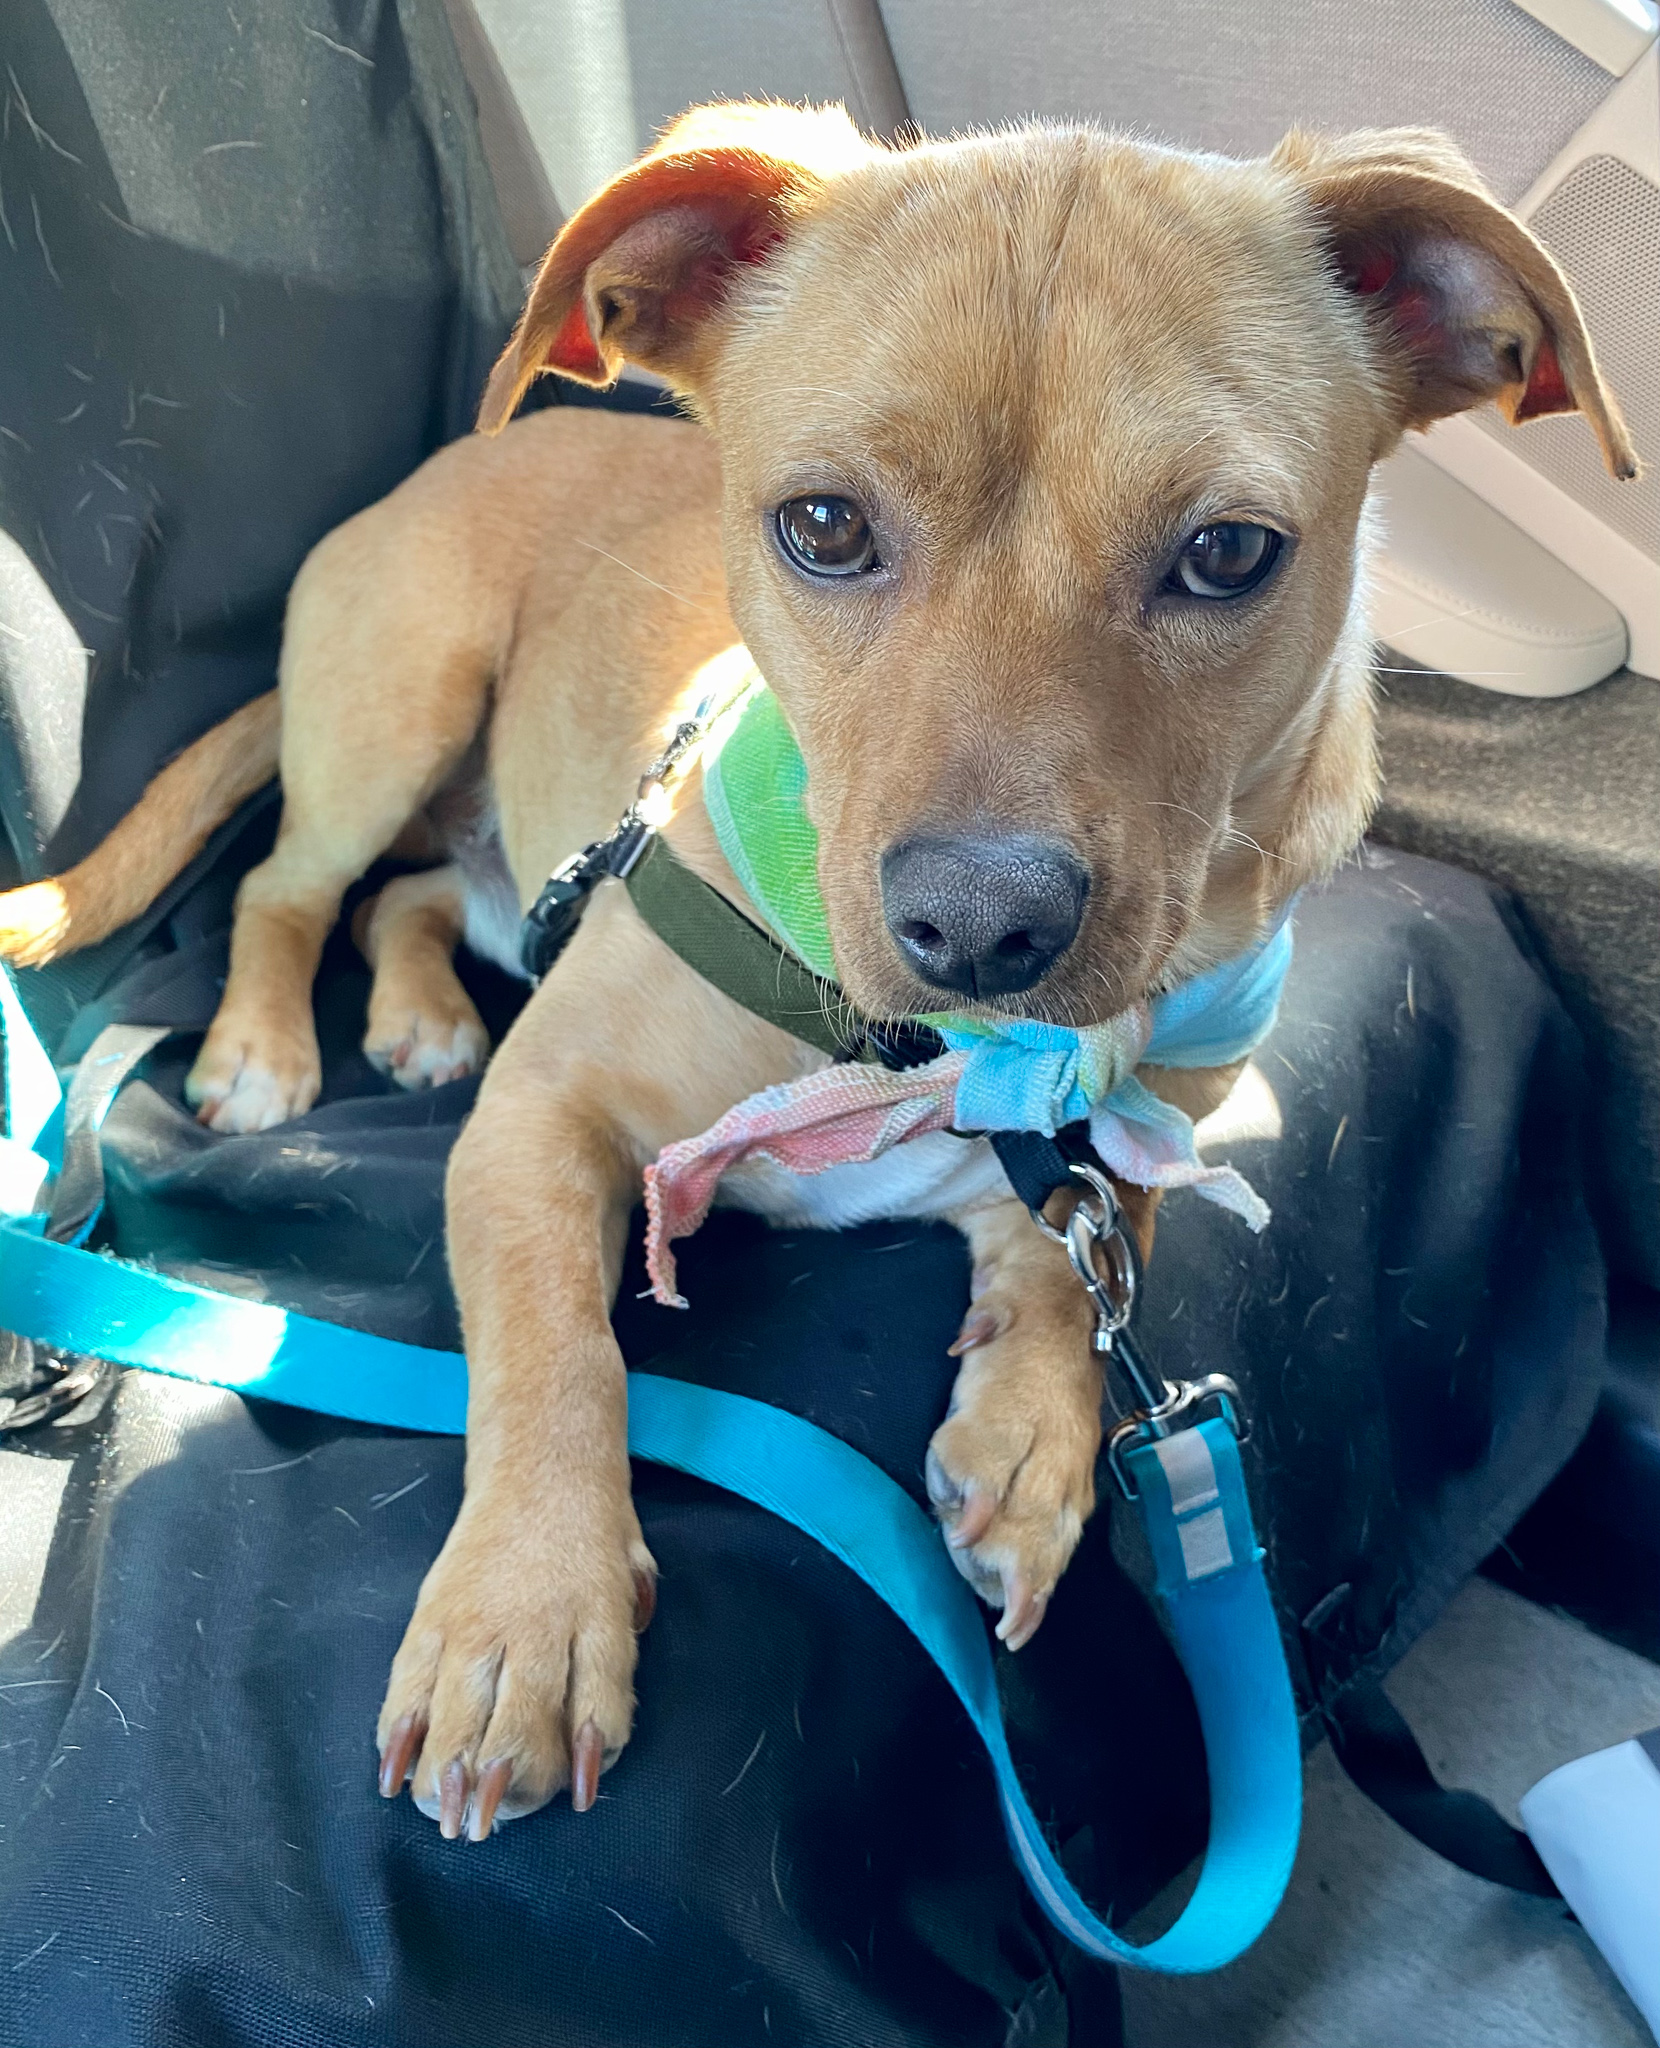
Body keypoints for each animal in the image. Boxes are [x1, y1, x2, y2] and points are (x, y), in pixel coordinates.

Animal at [0, 102, 1632, 1844]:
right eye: (827, 527)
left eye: (1231, 553)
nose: (980, 928)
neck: (949, 1052)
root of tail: (455, 457)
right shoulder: (541, 1117)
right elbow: (554, 1353)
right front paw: (525, 1616)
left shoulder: (1149, 1116)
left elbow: (1082, 1235)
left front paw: (1036, 1439)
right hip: (402, 700)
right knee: (289, 886)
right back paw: (263, 1049)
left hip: (499, 853)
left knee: (411, 902)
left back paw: (423, 1012)